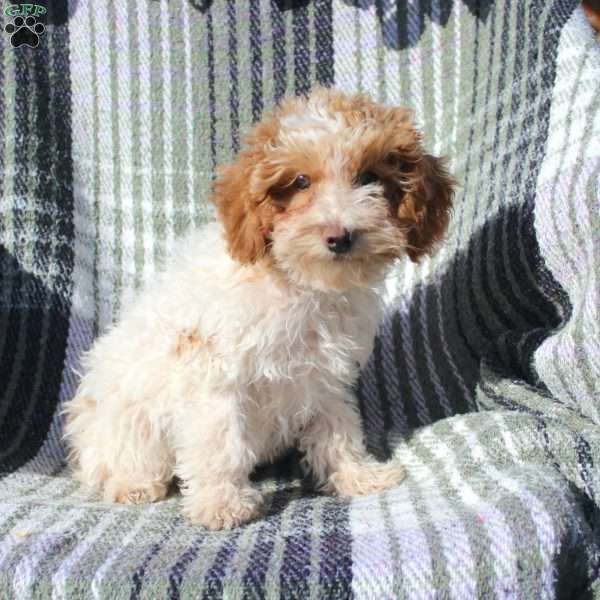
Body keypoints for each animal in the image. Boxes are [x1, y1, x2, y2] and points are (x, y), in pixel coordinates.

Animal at [62, 88, 454, 528]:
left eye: (370, 178)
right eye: (300, 181)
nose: (340, 236)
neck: (301, 285)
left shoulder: (324, 375)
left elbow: (338, 429)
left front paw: (357, 476)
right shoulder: (214, 375)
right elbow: (220, 442)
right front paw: (221, 503)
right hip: (125, 419)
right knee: (116, 460)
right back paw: (133, 484)